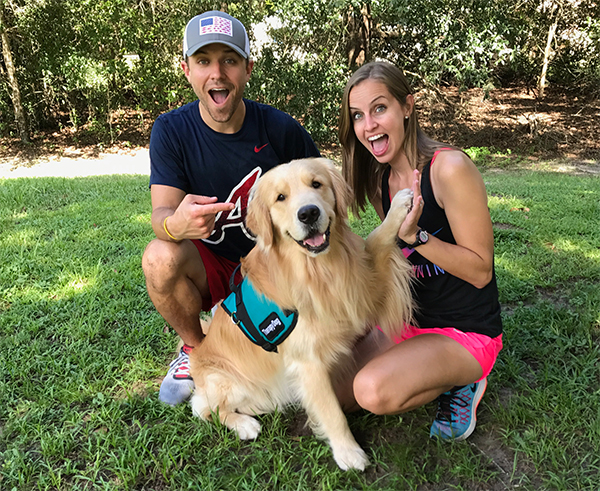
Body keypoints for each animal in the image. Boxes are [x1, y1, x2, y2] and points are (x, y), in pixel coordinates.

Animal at [189, 159, 412, 472]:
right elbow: (331, 410)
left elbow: (377, 237)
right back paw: (245, 425)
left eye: (316, 184)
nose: (308, 213)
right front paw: (348, 453)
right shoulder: (307, 362)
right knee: (210, 409)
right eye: (280, 198)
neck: (317, 270)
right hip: (223, 380)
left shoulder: (361, 290)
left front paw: (400, 205)